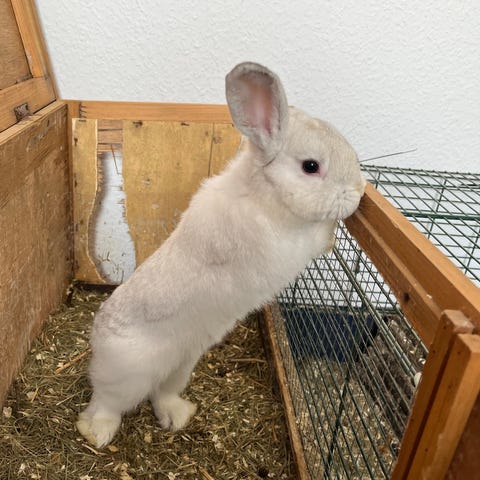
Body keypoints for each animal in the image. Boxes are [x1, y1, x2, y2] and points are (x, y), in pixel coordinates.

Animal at [76, 61, 366, 448]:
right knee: (106, 401)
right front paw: (331, 232)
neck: (265, 195)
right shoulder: (280, 248)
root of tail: (97, 338)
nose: (358, 192)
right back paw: (96, 431)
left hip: (182, 365)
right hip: (127, 375)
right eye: (310, 166)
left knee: (161, 393)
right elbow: (312, 239)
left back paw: (179, 415)